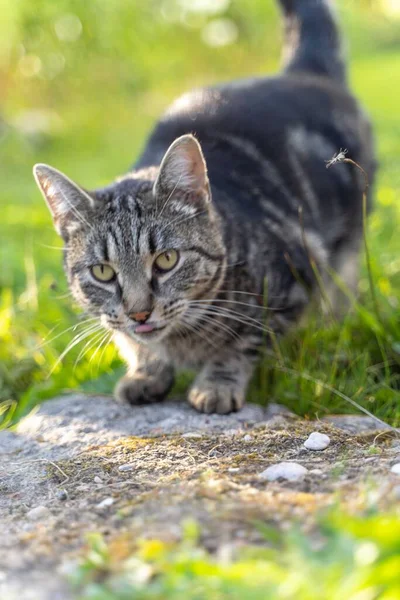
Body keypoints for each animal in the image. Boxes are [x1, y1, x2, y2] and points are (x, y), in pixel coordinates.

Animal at [33, 0, 376, 412]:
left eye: (166, 260)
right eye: (102, 272)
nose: (139, 312)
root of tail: (300, 72)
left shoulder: (294, 273)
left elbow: (244, 342)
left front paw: (216, 383)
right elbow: (130, 339)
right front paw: (146, 372)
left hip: (348, 237)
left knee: (342, 290)